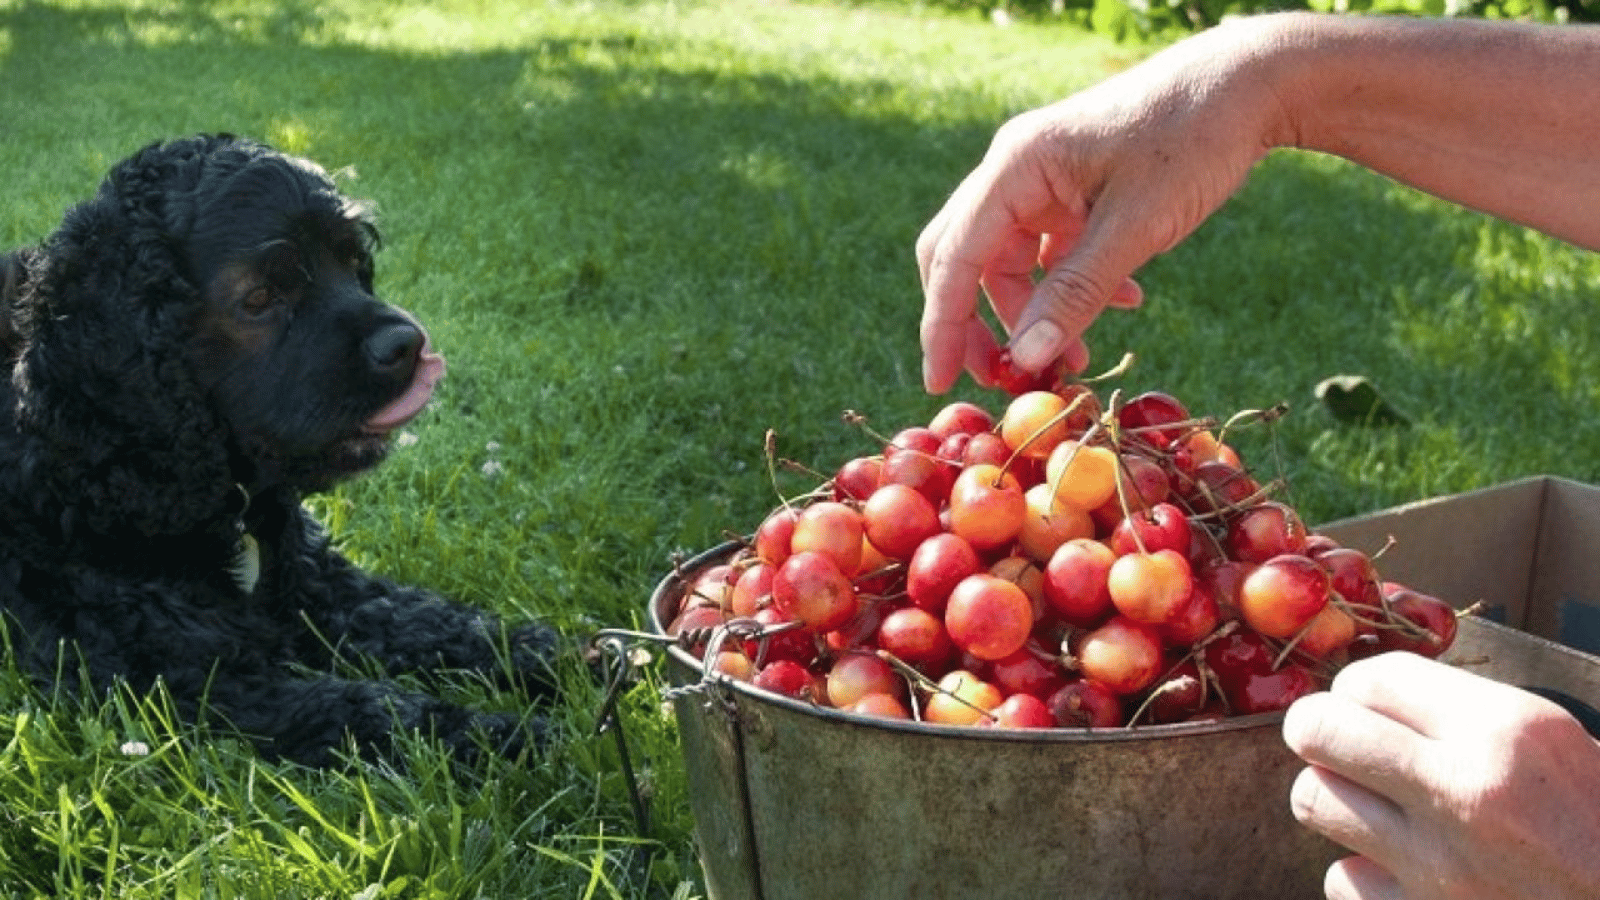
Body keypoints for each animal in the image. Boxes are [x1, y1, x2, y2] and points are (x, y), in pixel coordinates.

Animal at [0, 132, 556, 762]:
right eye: (261, 297)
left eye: (354, 263)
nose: (408, 344)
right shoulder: (180, 674)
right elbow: (365, 707)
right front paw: (514, 740)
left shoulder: (318, 583)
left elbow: (426, 619)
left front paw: (560, 656)